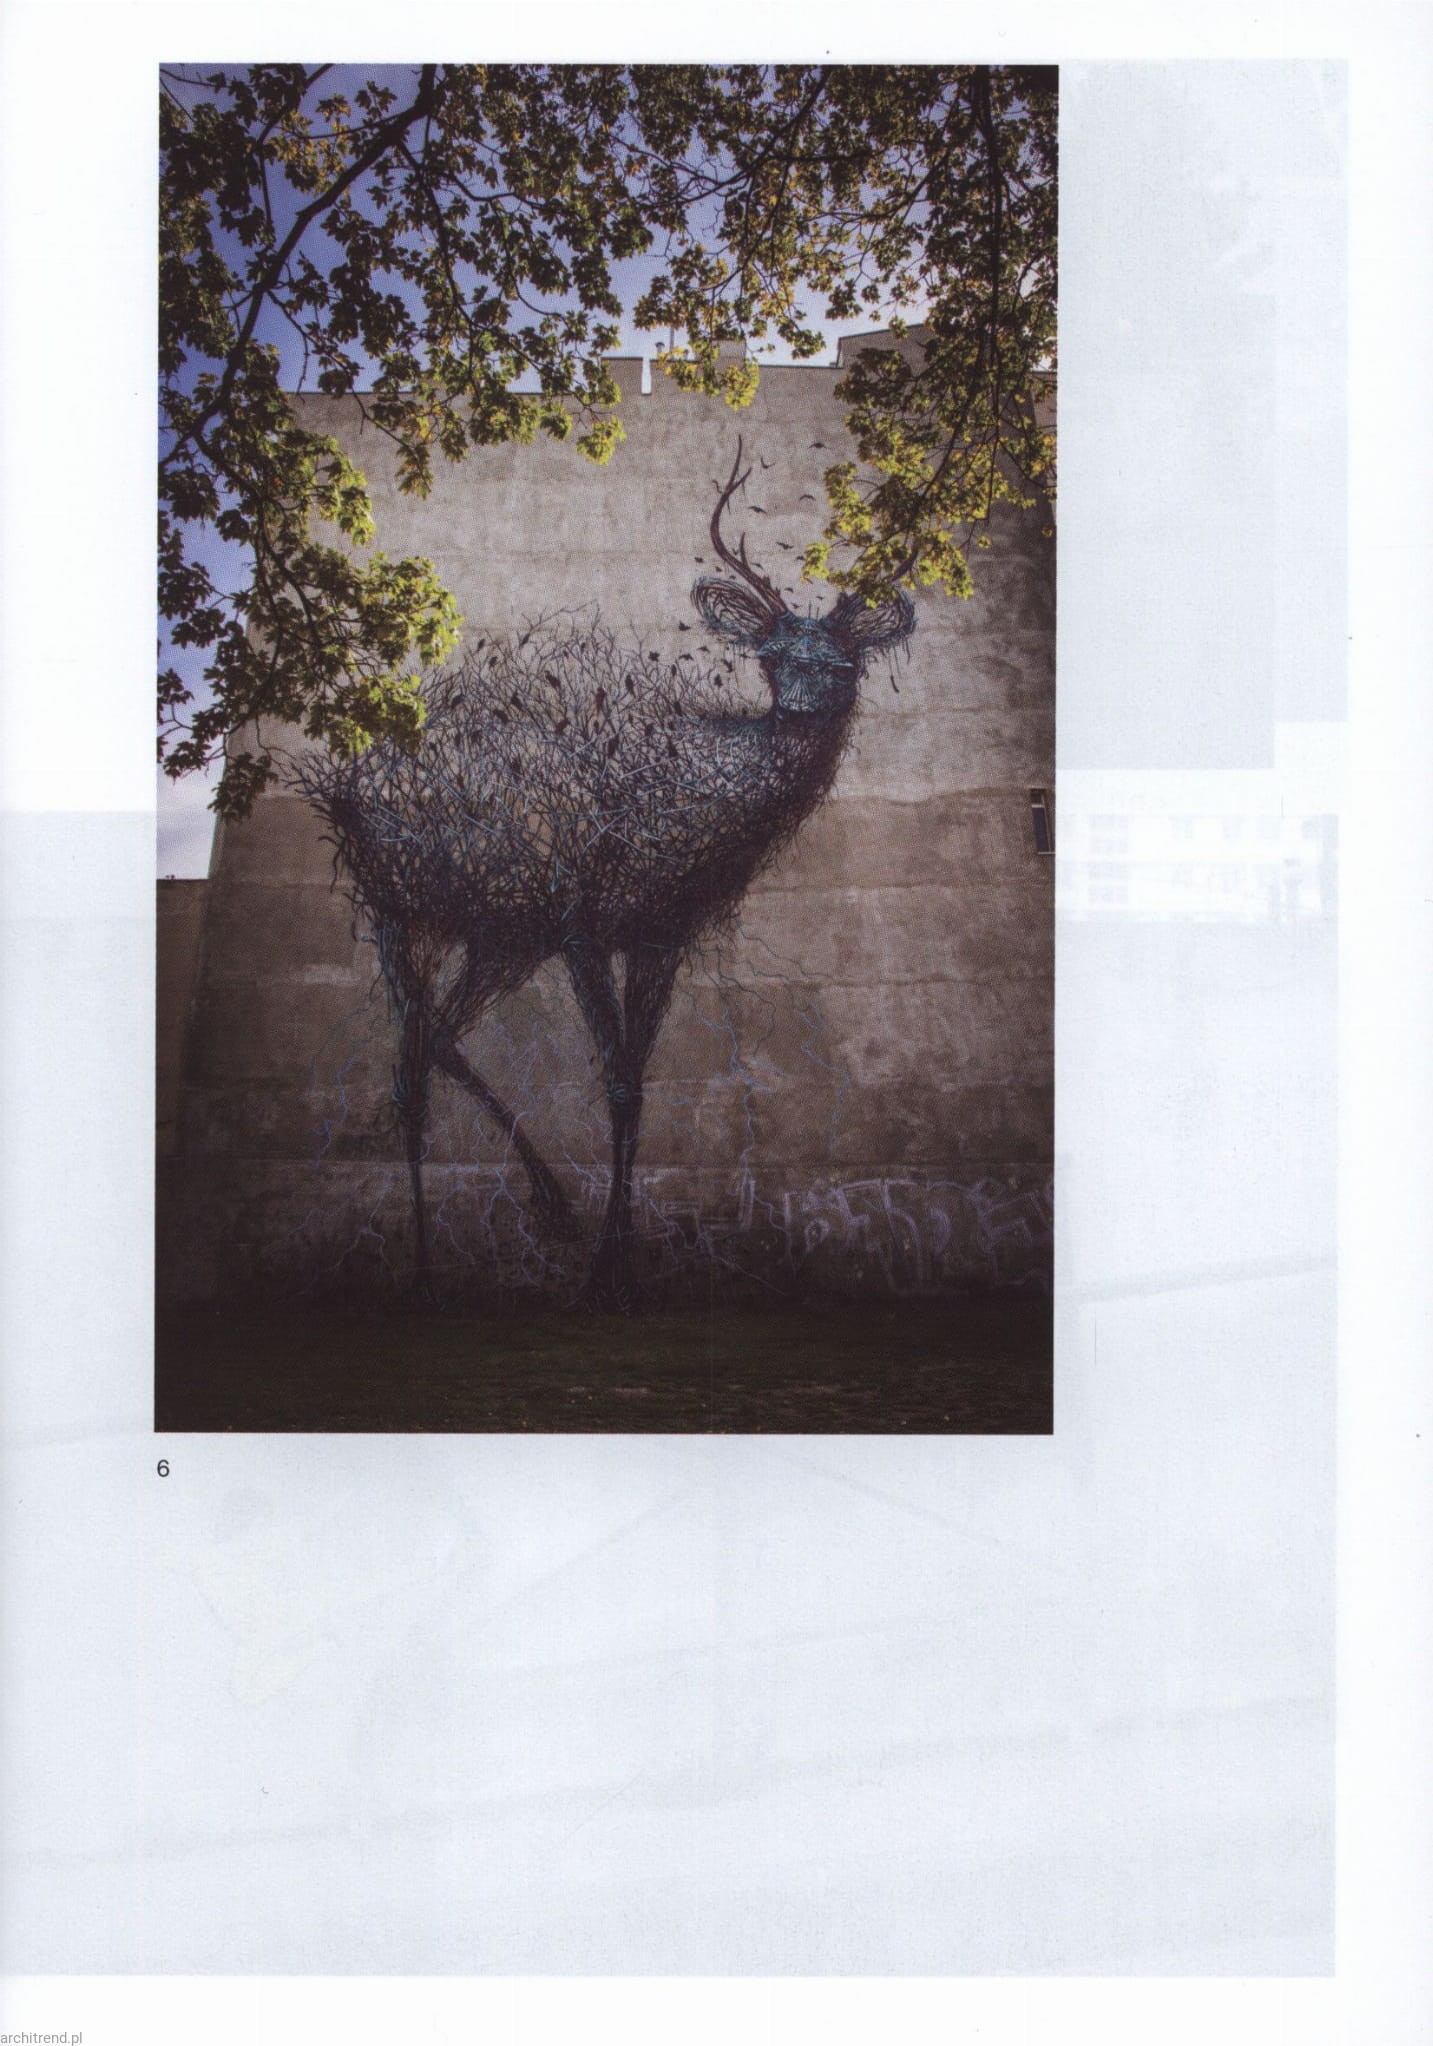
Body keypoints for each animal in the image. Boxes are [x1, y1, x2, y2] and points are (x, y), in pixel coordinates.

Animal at [299, 442, 916, 1310]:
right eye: (768, 660)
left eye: (839, 662)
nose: (798, 713)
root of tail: (344, 786)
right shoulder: (581, 917)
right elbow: (615, 1083)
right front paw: (602, 1272)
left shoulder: (660, 932)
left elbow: (637, 1081)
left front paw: (619, 1260)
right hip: (394, 905)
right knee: (406, 1071)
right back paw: (423, 1267)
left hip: (500, 934)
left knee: (436, 1040)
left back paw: (548, 1209)